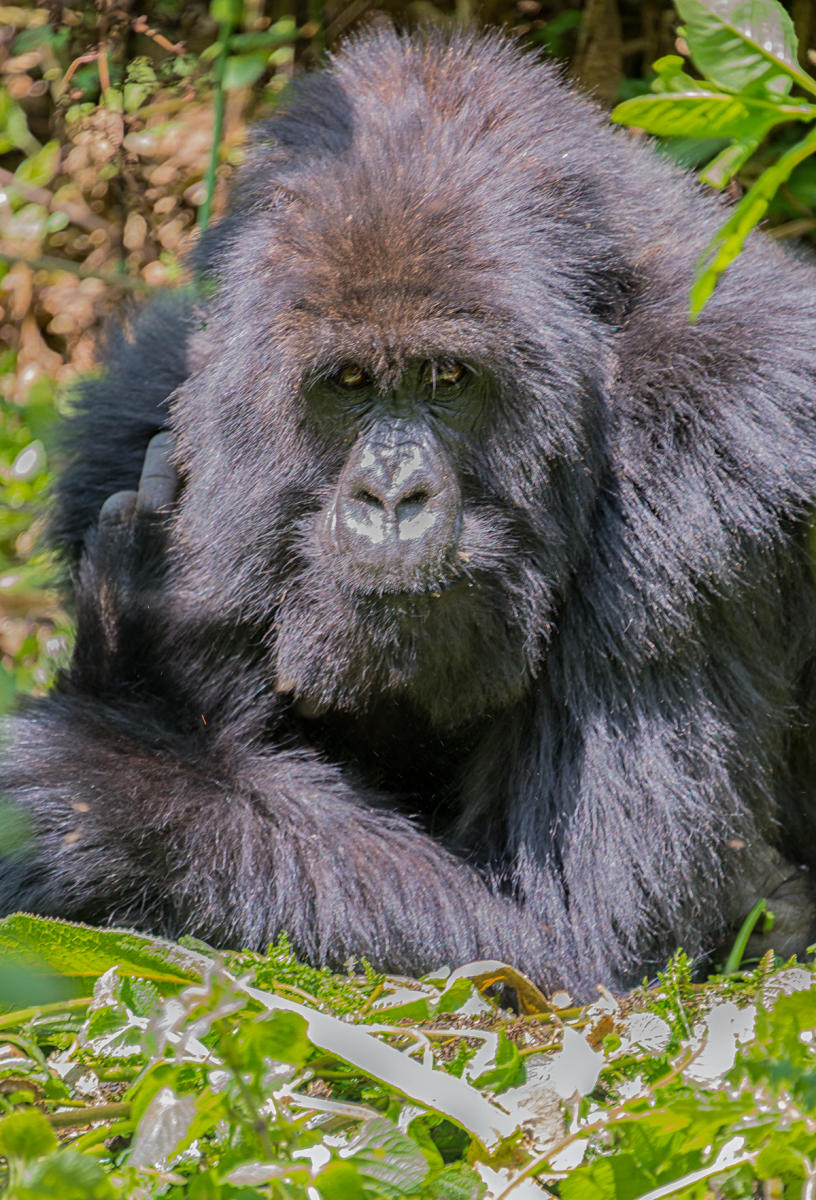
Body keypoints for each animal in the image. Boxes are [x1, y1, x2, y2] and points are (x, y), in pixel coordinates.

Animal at [4, 30, 816, 1003]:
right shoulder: (134, 410)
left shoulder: (708, 447)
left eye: (447, 378)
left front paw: (82, 784)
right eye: (350, 382)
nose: (393, 497)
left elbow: (580, 934)